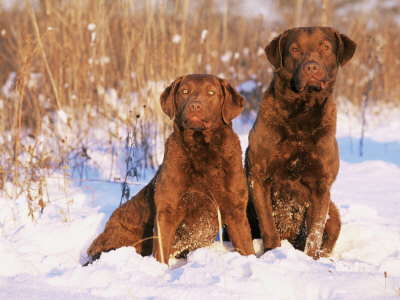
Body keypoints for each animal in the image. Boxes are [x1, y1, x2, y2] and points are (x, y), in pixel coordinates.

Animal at [88, 74, 256, 264]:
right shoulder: (167, 210)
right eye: (185, 91)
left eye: (212, 92)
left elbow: (247, 247)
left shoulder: (236, 209)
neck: (202, 151)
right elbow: (160, 252)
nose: (195, 105)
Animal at [247, 27, 356, 258]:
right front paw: (273, 253)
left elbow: (314, 232)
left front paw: (310, 260)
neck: (301, 116)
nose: (311, 67)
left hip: (334, 213)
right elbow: (268, 224)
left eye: (325, 46)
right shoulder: (259, 177)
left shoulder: (321, 185)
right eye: (295, 49)